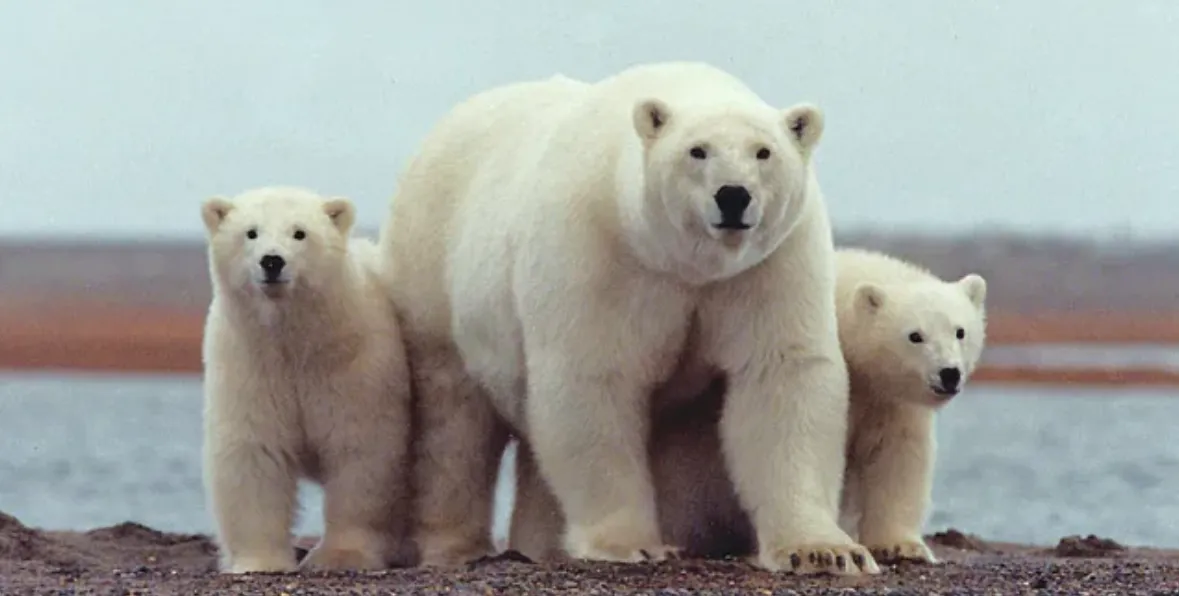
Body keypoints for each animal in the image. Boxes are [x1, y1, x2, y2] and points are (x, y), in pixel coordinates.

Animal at [200, 186, 414, 574]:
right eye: (251, 232)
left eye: (299, 233)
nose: (272, 261)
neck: (296, 340)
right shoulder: (249, 364)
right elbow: (254, 452)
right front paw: (260, 562)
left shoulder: (353, 365)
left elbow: (360, 451)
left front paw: (342, 556)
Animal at [379, 61, 879, 575]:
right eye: (697, 151)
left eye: (764, 152)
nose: (733, 196)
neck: (684, 263)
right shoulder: (601, 252)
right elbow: (594, 380)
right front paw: (631, 544)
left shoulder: (769, 265)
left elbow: (780, 375)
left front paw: (824, 551)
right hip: (433, 272)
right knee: (453, 421)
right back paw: (454, 545)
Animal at [507, 247, 988, 566]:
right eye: (914, 335)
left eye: (960, 331)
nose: (948, 374)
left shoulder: (889, 400)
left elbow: (897, 457)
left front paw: (901, 545)